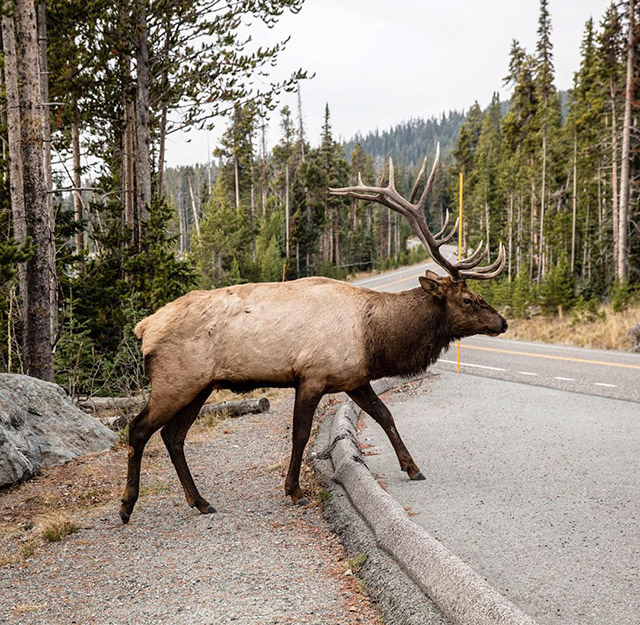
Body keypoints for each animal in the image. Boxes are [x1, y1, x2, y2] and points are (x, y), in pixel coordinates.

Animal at [120, 145, 508, 520]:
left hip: (200, 386)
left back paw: (200, 501)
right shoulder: (311, 376)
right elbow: (301, 434)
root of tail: (144, 327)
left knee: (172, 436)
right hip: (176, 381)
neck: (374, 338)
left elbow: (385, 415)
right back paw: (128, 505)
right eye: (469, 299)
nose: (502, 322)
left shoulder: (354, 378)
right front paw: (293, 489)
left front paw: (412, 467)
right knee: (139, 428)